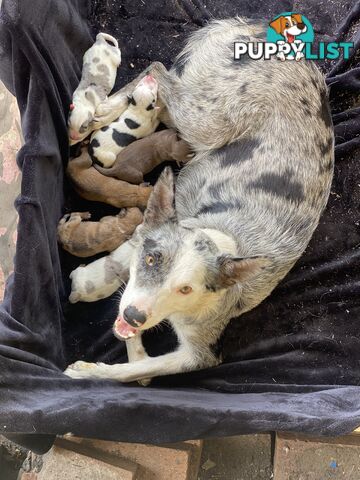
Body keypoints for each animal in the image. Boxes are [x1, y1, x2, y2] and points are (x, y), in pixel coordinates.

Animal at [65, 16, 334, 386]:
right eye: (152, 260)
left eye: (186, 290)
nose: (134, 317)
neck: (220, 234)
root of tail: (254, 28)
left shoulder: (200, 353)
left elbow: (140, 367)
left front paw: (96, 371)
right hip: (207, 118)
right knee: (158, 68)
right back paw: (103, 109)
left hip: (200, 117)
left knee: (162, 83)